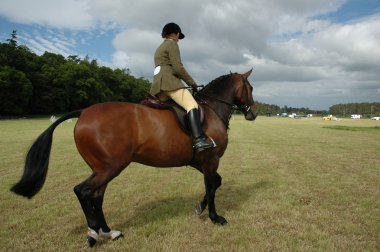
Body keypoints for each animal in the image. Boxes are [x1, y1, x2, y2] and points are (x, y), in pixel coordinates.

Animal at [10, 69, 256, 246]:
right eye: (251, 87)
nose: (252, 113)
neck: (212, 109)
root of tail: (84, 112)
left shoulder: (200, 161)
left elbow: (215, 183)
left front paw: (200, 207)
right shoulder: (211, 159)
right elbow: (212, 186)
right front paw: (215, 217)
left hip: (102, 168)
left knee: (96, 196)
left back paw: (109, 232)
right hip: (110, 167)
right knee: (83, 191)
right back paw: (93, 233)